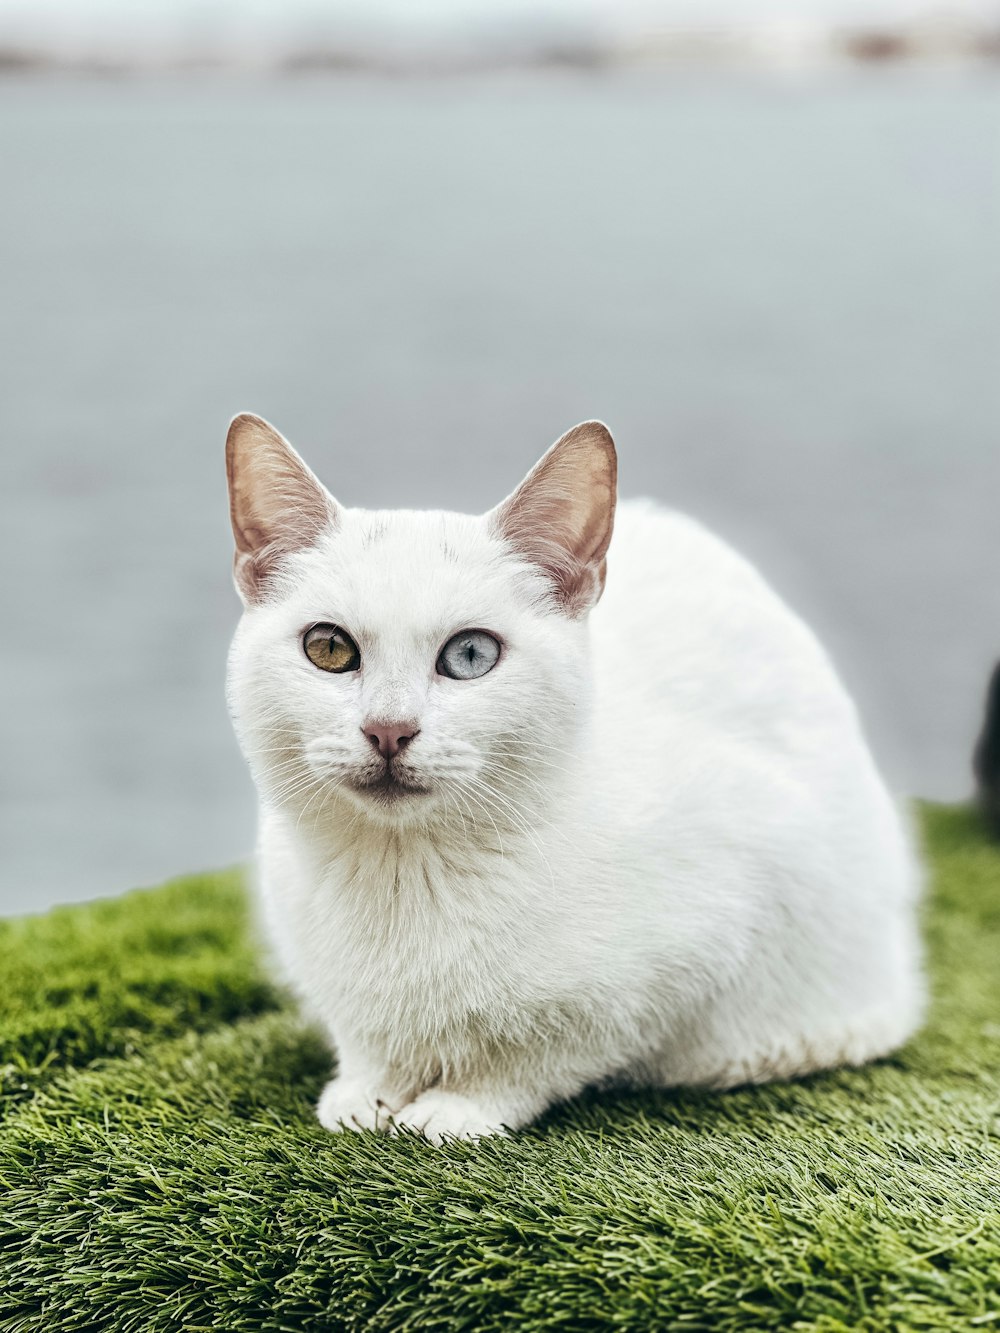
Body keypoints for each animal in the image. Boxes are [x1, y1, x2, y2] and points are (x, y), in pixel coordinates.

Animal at [225, 410, 922, 1141]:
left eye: (470, 655)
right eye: (329, 648)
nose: (389, 729)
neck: (405, 872)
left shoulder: (709, 938)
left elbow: (543, 1052)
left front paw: (456, 1109)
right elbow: (368, 1040)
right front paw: (366, 1092)